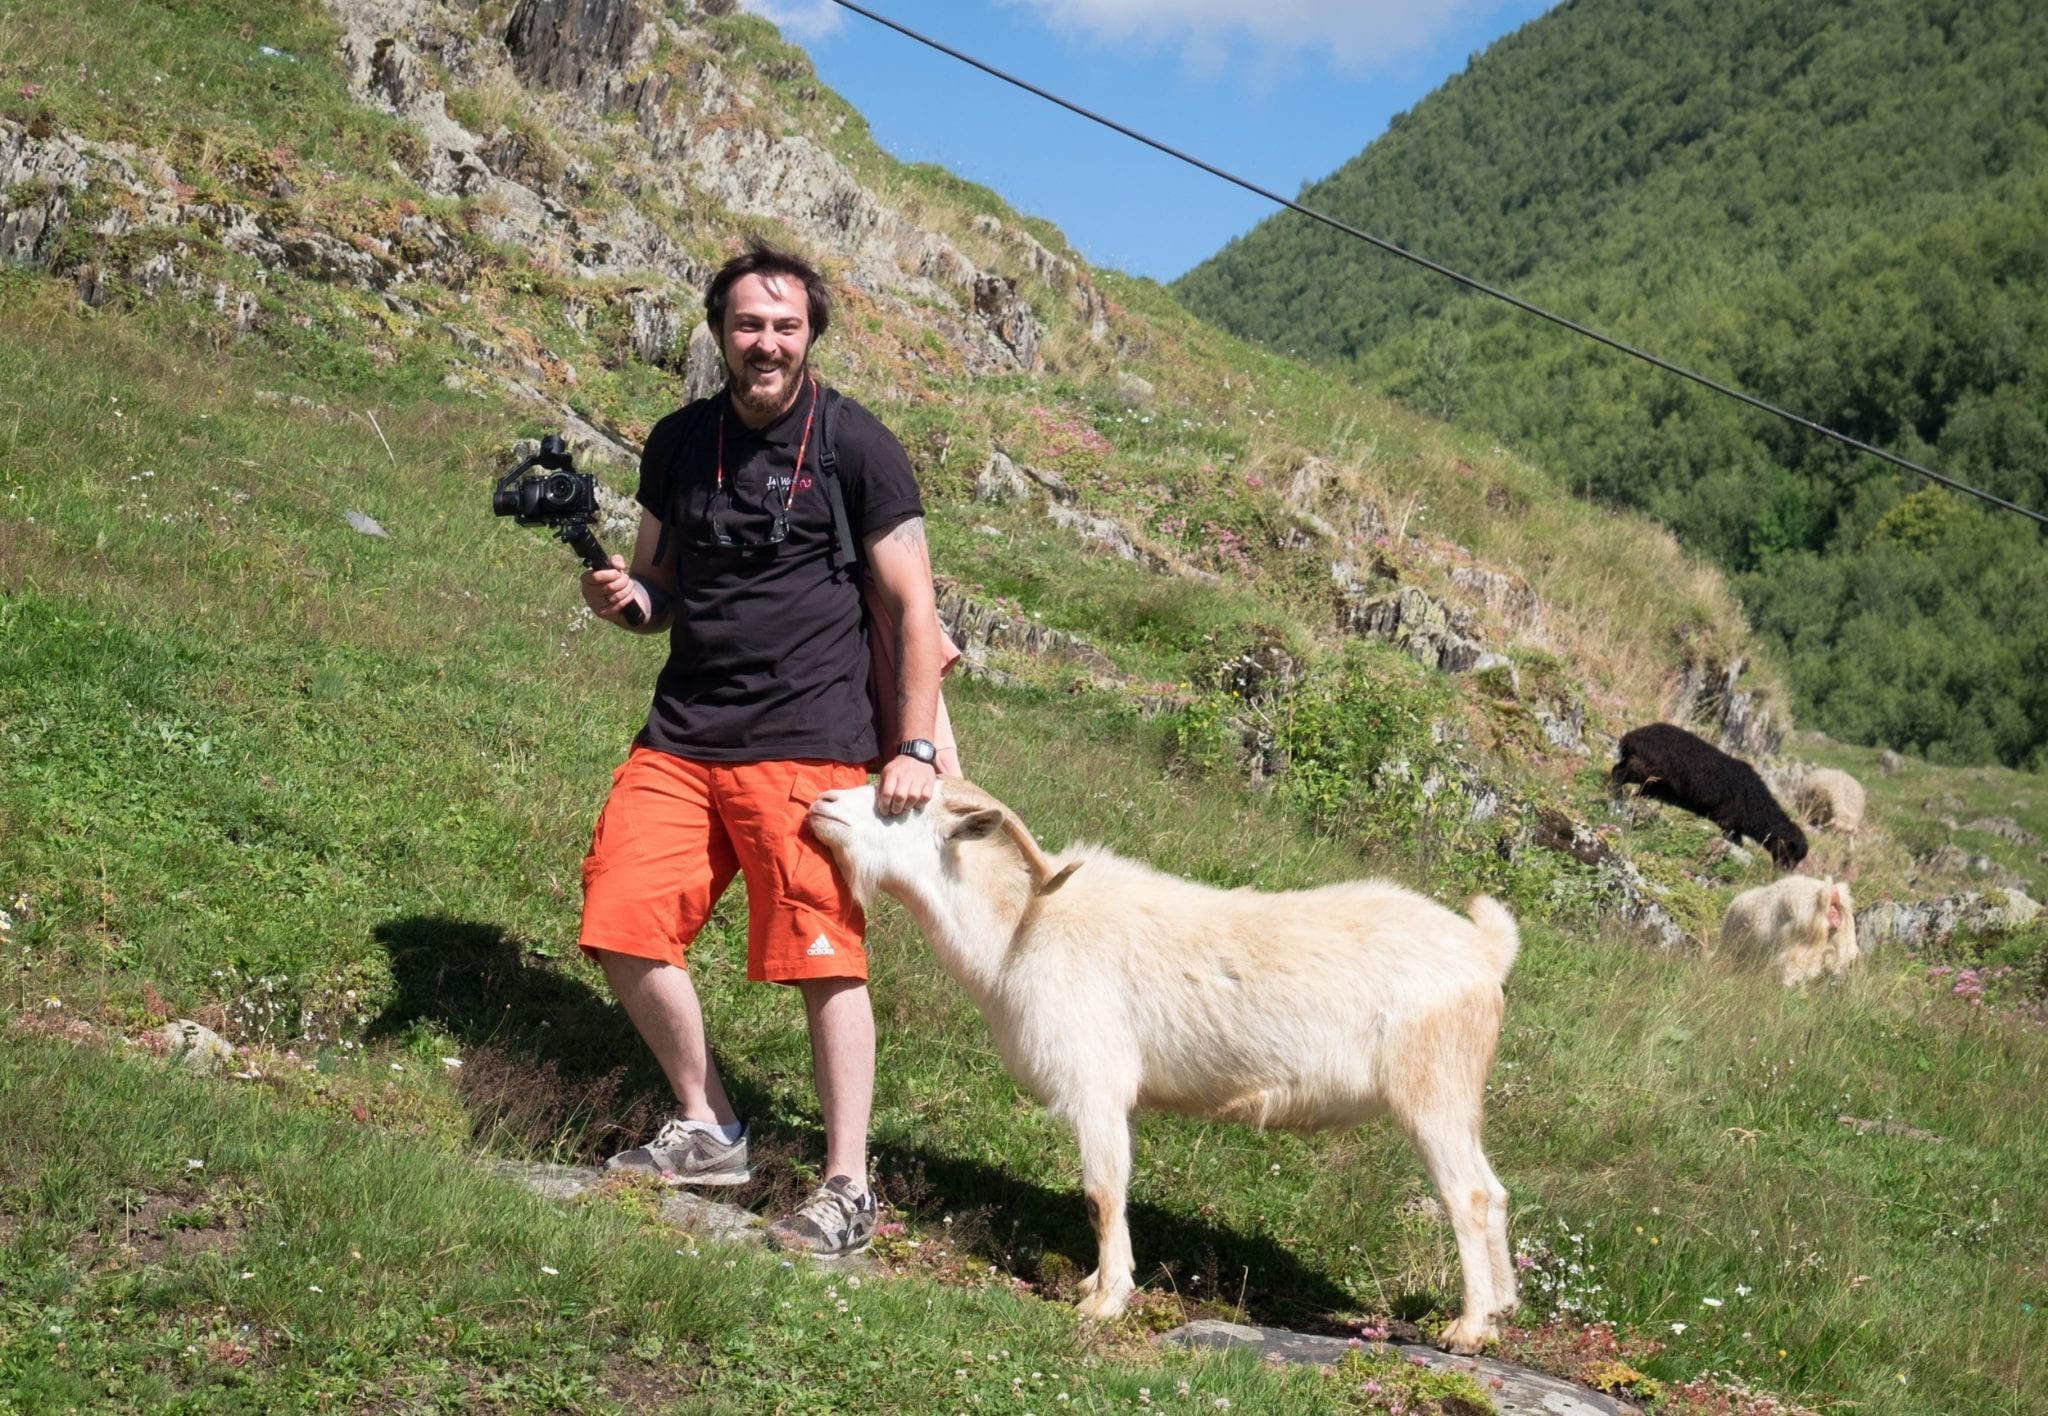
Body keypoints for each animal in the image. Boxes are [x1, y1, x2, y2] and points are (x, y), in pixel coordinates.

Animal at [806, 782, 1531, 1360]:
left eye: (901, 805)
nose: (821, 803)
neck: (1017, 932)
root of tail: (1485, 952)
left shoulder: (1095, 1083)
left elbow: (1102, 1193)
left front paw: (1103, 1302)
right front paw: (1096, 1283)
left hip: (1431, 1092)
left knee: (1467, 1197)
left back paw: (1467, 1330)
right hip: (1458, 1100)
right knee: (1495, 1192)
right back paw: (1501, 1311)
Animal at [1613, 725, 1810, 868]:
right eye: (1791, 852)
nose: (1784, 872)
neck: (1756, 807)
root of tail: (1632, 736)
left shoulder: (1734, 827)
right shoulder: (1729, 823)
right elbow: (1735, 843)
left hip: (1647, 776)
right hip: (1642, 769)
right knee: (1618, 773)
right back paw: (1616, 796)